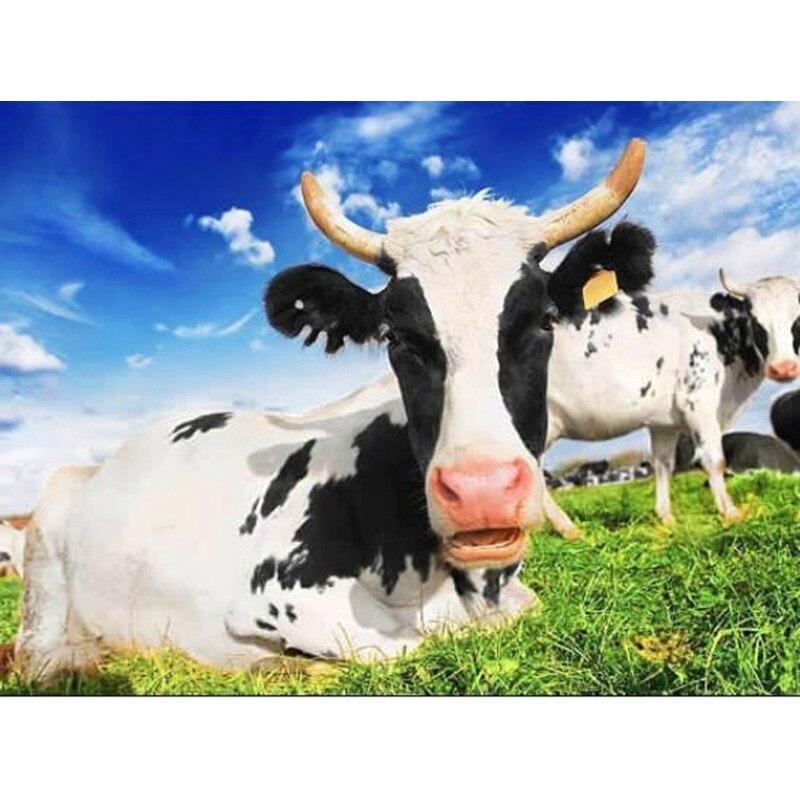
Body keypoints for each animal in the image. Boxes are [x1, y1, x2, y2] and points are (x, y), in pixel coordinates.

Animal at [13, 140, 646, 680]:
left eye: (544, 321)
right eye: (397, 337)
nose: (481, 489)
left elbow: (521, 608)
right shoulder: (280, 598)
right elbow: (412, 642)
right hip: (47, 524)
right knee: (36, 652)